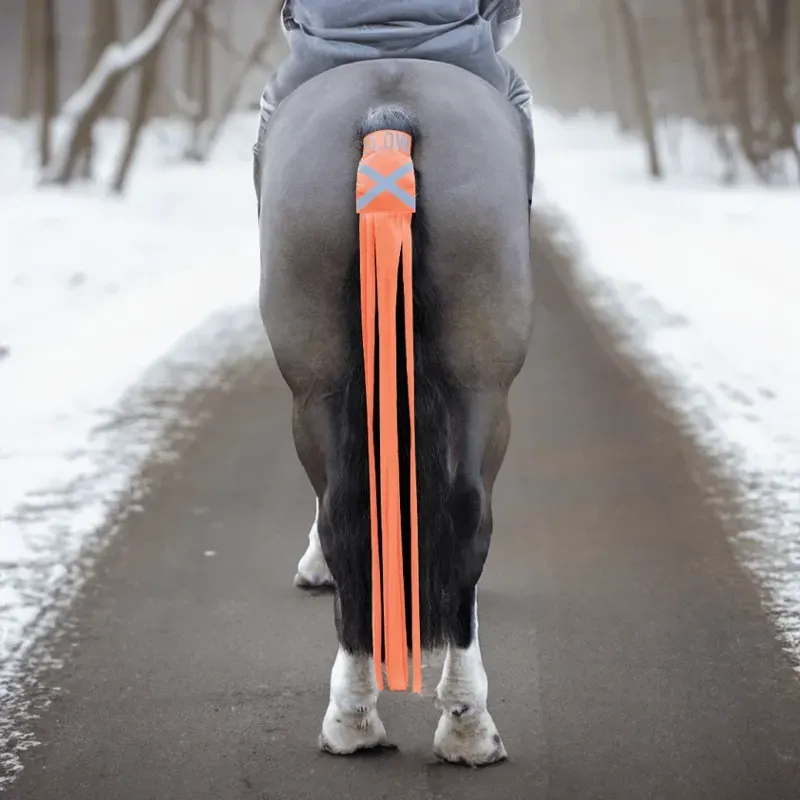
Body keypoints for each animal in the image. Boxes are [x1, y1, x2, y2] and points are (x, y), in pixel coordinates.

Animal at [258, 57, 533, 767]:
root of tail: (389, 116)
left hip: (320, 379)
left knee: (349, 508)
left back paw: (361, 716)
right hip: (480, 381)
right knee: (459, 510)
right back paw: (459, 726)